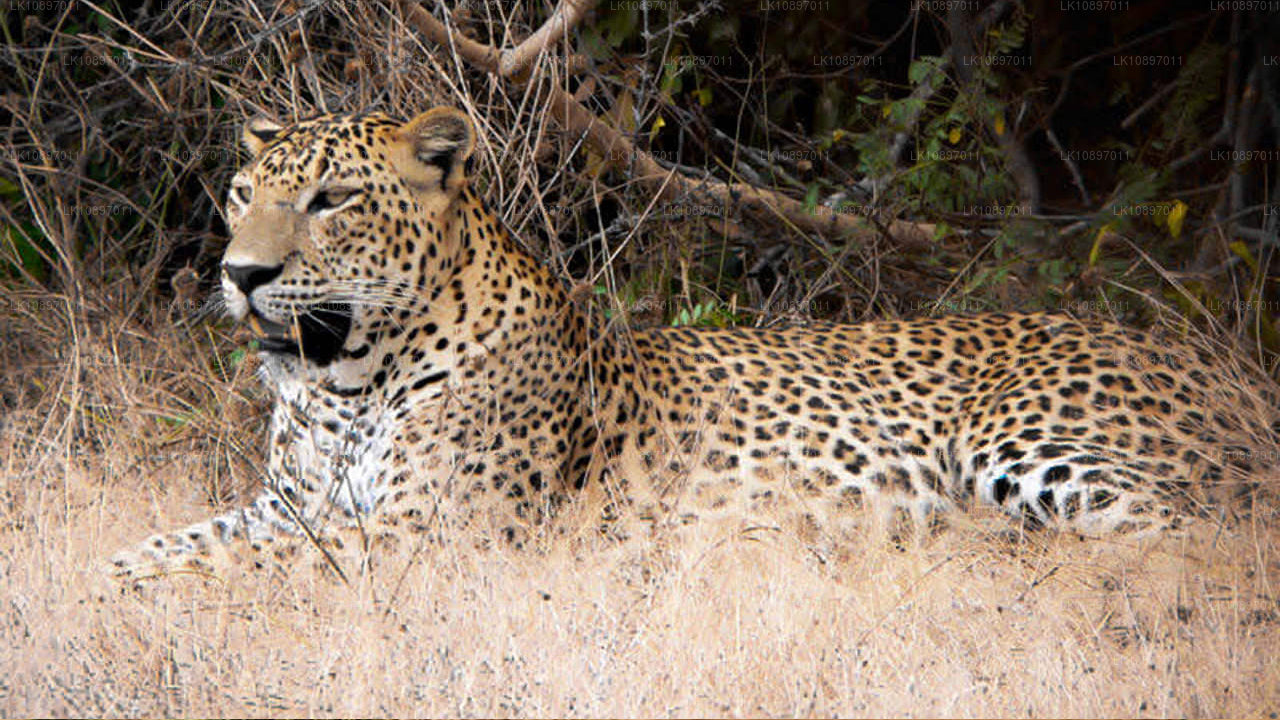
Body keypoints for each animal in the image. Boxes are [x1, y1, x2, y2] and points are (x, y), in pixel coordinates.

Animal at [107, 103, 1269, 579]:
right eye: (242, 196)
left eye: (332, 200)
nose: (239, 275)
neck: (344, 383)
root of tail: (1229, 363)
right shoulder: (292, 506)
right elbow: (173, 542)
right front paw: (95, 577)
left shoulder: (434, 533)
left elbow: (221, 565)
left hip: (1032, 445)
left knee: (1186, 536)